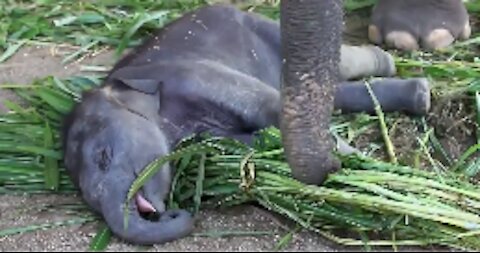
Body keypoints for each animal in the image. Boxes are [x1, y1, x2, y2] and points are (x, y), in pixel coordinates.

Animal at [62, 3, 432, 245]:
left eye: (104, 156)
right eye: (86, 197)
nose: (170, 212)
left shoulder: (191, 73)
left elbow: (269, 107)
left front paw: (366, 171)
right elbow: (253, 141)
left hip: (265, 29)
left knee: (338, 67)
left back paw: (394, 67)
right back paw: (419, 92)